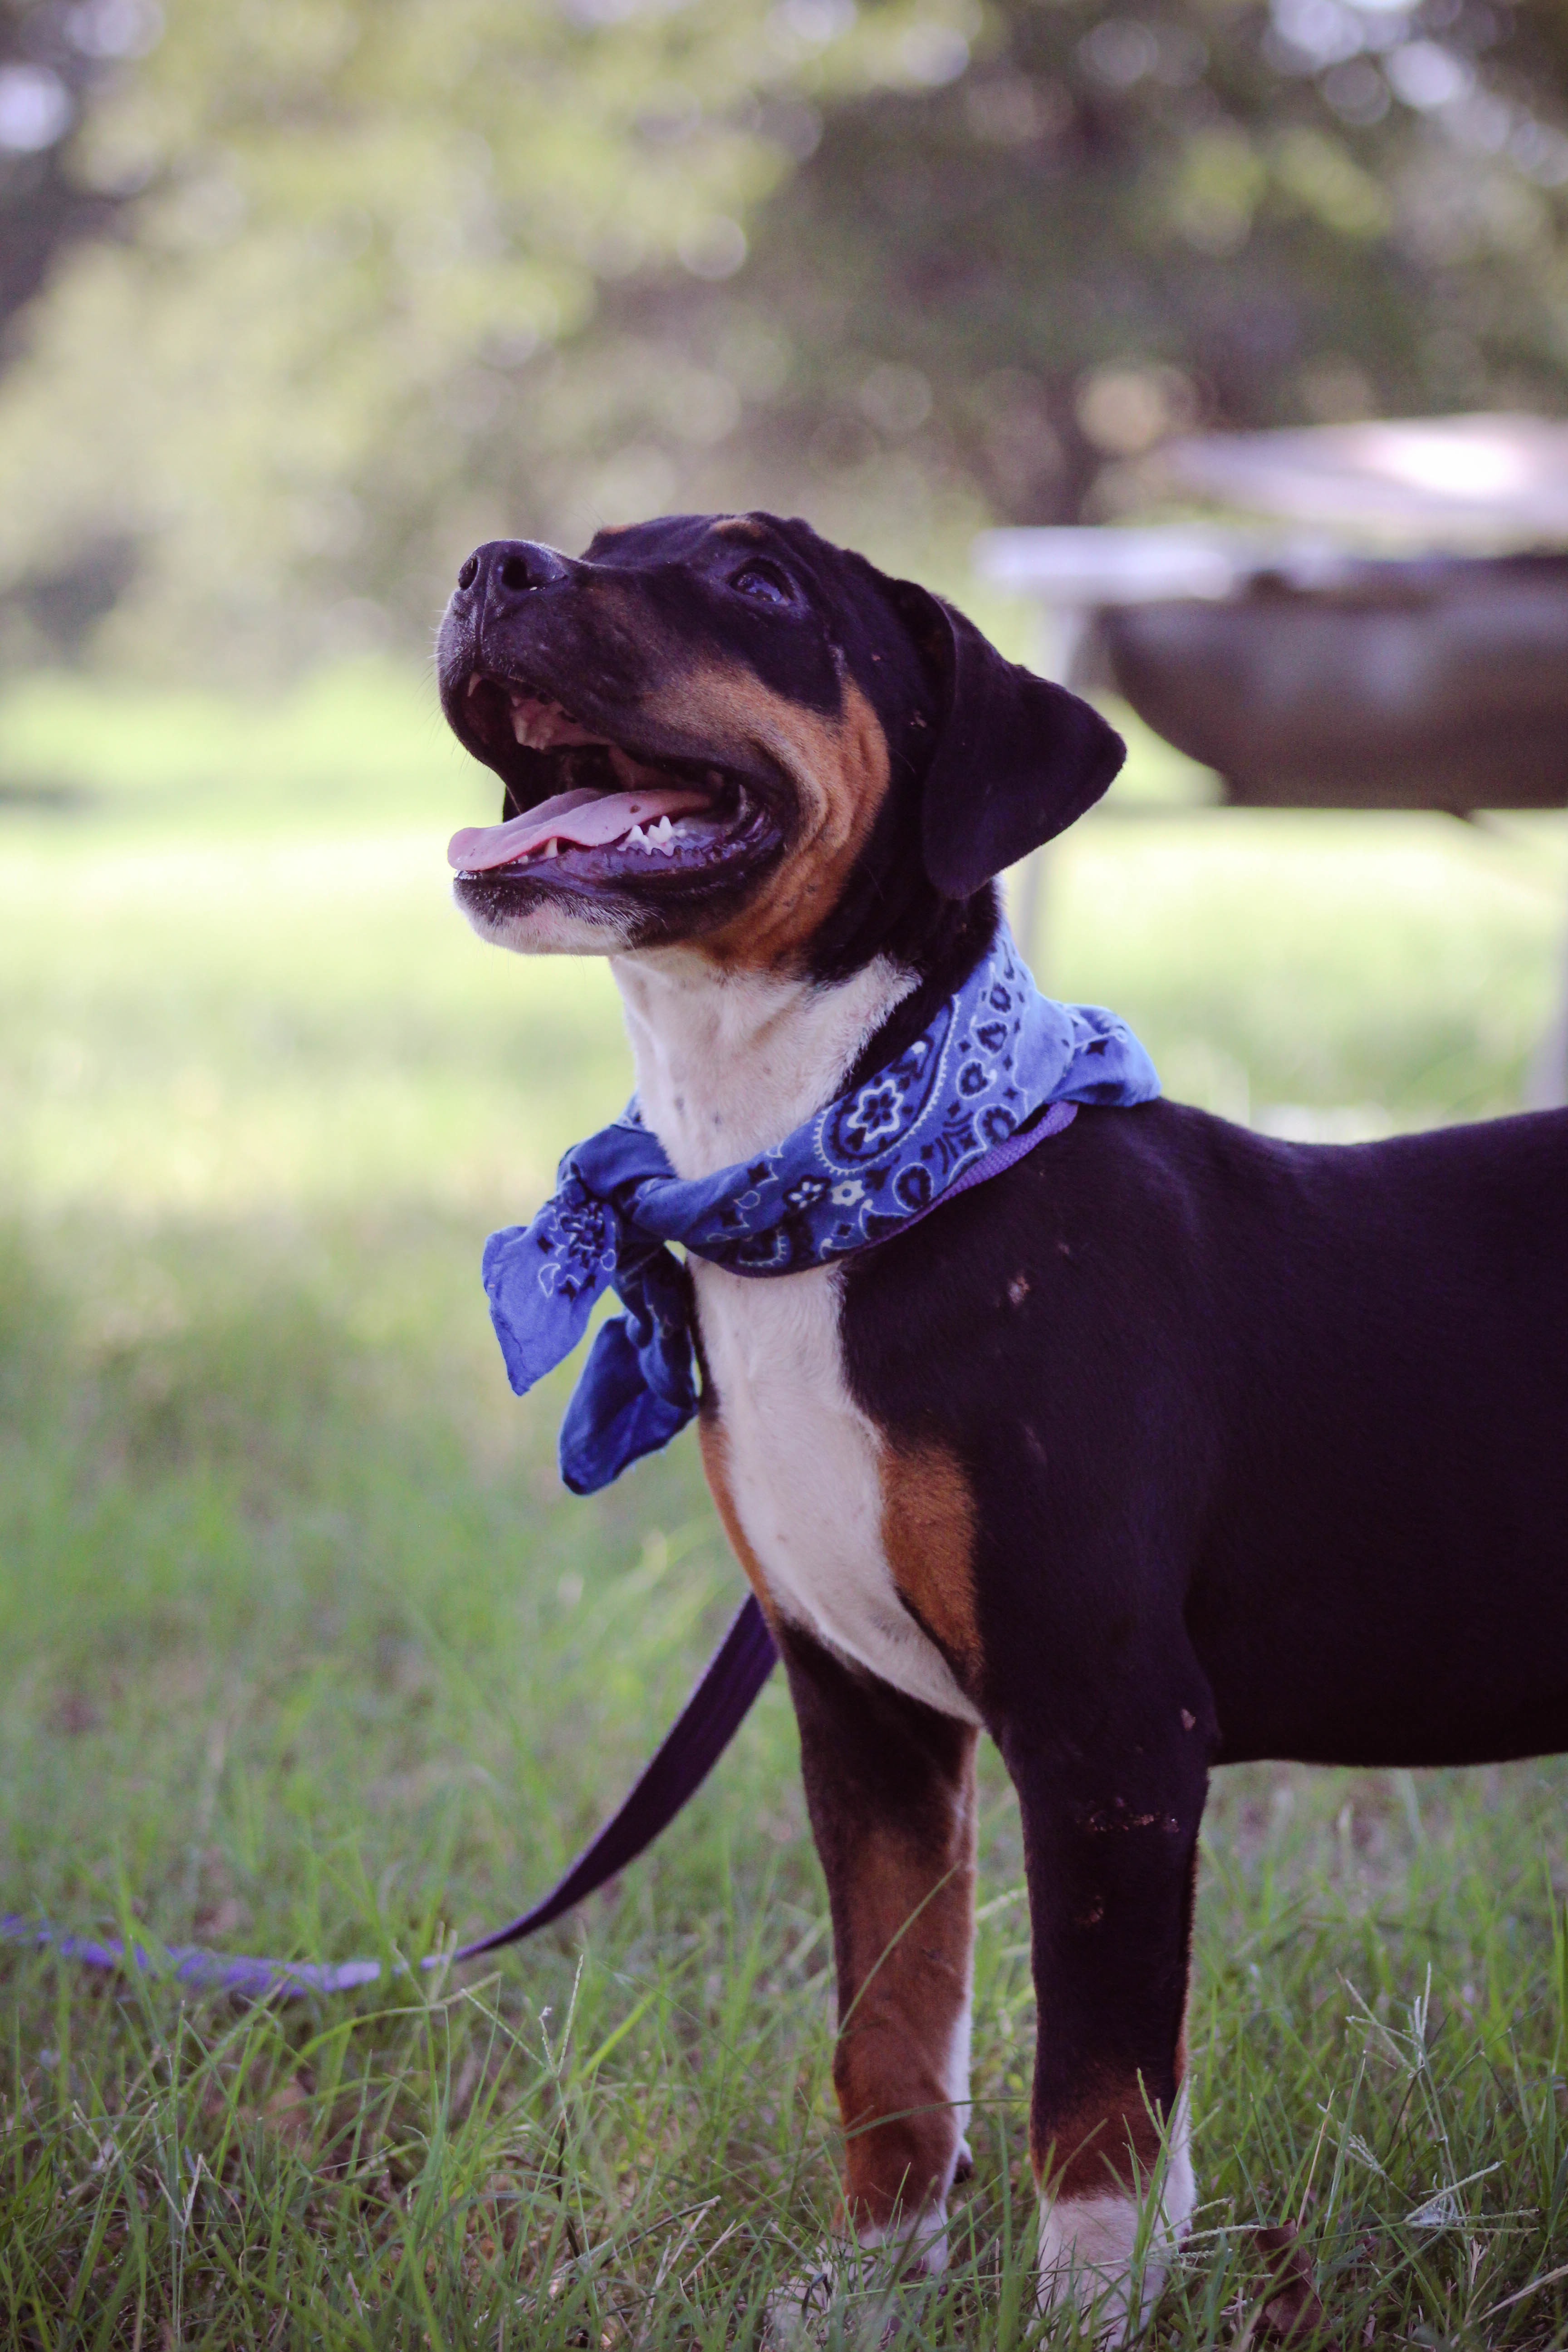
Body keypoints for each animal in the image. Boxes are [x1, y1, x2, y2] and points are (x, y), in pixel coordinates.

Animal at [432, 515, 1568, 2333]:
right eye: (599, 543)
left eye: (759, 586)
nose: (493, 564)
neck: (855, 1187)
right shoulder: (866, 1713)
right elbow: (893, 2040)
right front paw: (870, 2288)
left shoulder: (1108, 1724)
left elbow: (1095, 2095)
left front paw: (1085, 2316)